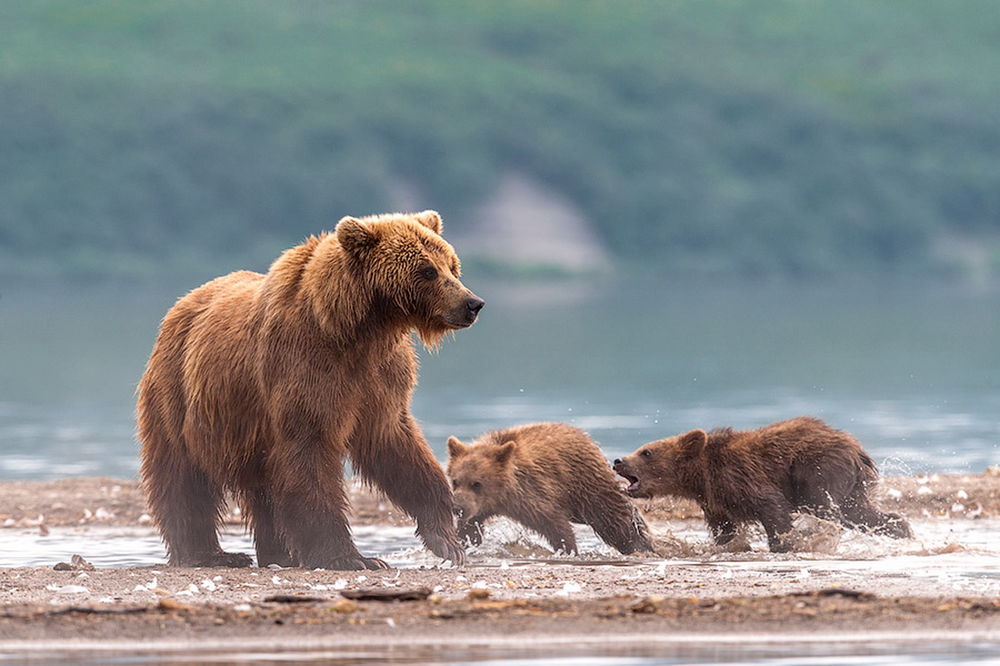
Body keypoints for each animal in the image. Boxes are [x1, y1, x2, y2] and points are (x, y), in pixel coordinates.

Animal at [138, 210, 484, 568]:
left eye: (452, 266)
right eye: (428, 270)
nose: (472, 303)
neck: (359, 330)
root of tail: (183, 303)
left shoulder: (381, 377)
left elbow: (395, 444)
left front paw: (446, 540)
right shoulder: (307, 366)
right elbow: (311, 453)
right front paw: (352, 557)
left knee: (264, 487)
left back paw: (279, 553)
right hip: (181, 392)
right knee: (184, 475)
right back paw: (211, 553)